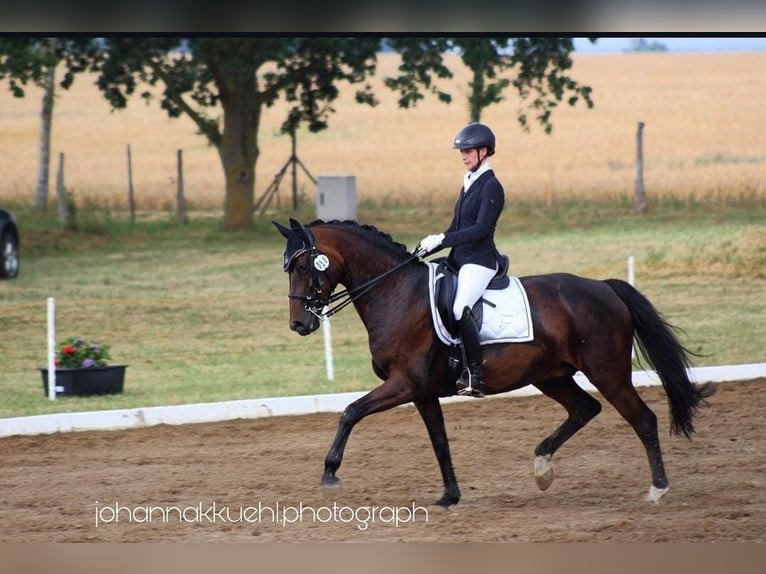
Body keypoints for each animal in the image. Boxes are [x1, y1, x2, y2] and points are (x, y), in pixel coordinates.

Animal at [274, 219, 712, 508]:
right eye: (288, 268)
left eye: (303, 266)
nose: (300, 324)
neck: (395, 292)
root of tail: (604, 287)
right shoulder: (422, 391)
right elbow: (439, 441)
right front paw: (449, 497)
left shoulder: (404, 383)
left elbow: (350, 411)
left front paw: (330, 472)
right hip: (551, 376)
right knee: (585, 408)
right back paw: (542, 468)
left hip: (607, 371)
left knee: (642, 419)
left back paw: (657, 489)